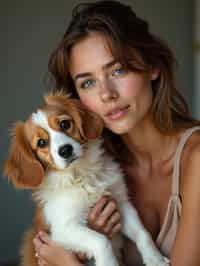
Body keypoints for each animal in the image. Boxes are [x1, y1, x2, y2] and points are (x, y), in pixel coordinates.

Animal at [3, 91, 168, 266]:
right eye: (41, 143)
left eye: (64, 124)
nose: (65, 150)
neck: (82, 174)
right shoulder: (63, 229)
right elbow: (101, 240)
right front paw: (109, 263)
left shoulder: (121, 203)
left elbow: (142, 233)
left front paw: (155, 259)